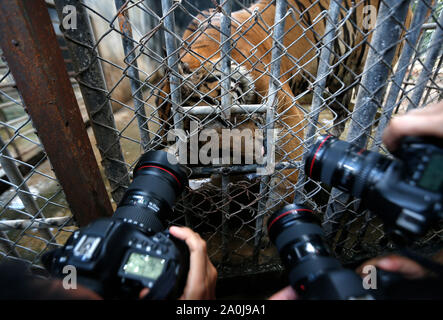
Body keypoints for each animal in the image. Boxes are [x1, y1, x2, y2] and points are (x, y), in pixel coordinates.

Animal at [154, 0, 414, 202]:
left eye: (220, 121)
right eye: (205, 146)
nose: (260, 149)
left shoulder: (284, 111)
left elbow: (287, 177)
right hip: (337, 81)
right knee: (342, 113)